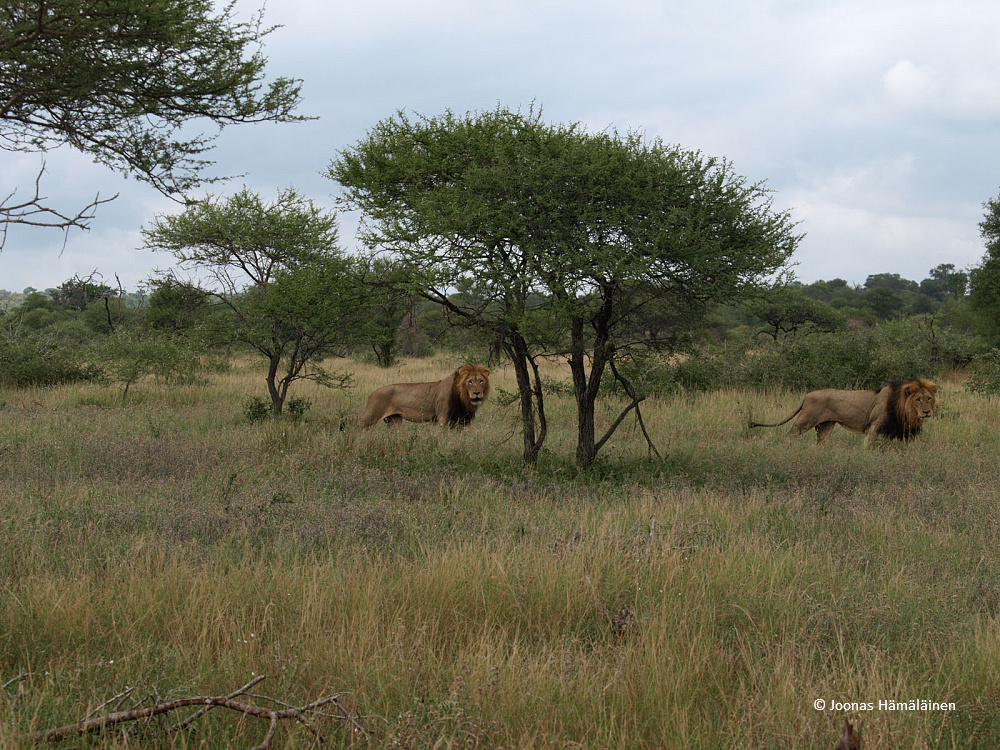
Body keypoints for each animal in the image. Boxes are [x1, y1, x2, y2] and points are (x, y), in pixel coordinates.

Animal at [362, 364, 490, 428]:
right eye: (470, 382)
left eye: (481, 381)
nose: (477, 393)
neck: (463, 398)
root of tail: (372, 393)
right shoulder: (442, 419)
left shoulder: (463, 421)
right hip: (370, 419)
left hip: (394, 420)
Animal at [752, 376, 936, 446]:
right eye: (917, 400)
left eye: (929, 398)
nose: (927, 412)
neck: (907, 412)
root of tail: (806, 395)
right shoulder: (875, 426)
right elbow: (868, 444)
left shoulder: (905, 432)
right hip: (804, 422)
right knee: (787, 436)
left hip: (826, 426)